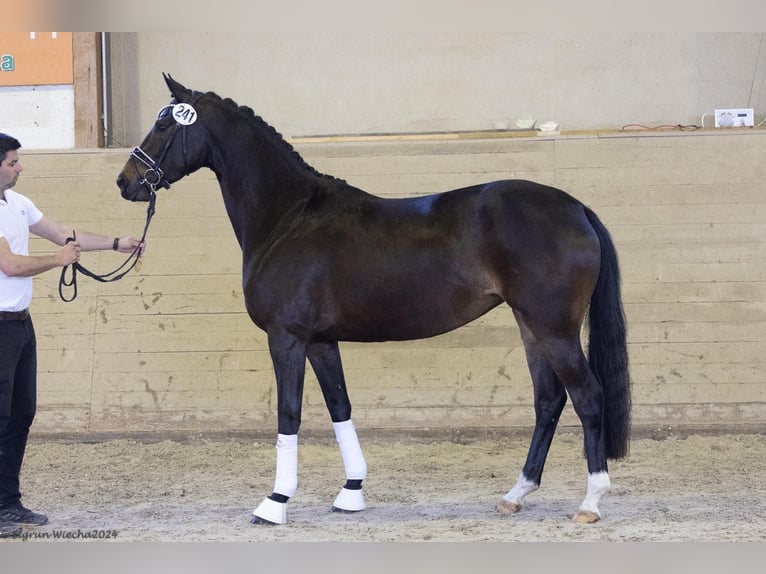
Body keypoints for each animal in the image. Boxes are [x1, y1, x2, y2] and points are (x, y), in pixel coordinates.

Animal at [115, 75, 632, 528]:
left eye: (165, 125)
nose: (126, 181)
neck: (290, 217)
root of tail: (575, 208)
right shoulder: (321, 342)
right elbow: (340, 407)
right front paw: (351, 492)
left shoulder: (287, 338)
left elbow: (289, 414)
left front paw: (275, 503)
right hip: (530, 327)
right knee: (548, 401)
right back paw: (516, 494)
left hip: (554, 329)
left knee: (588, 396)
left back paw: (590, 502)